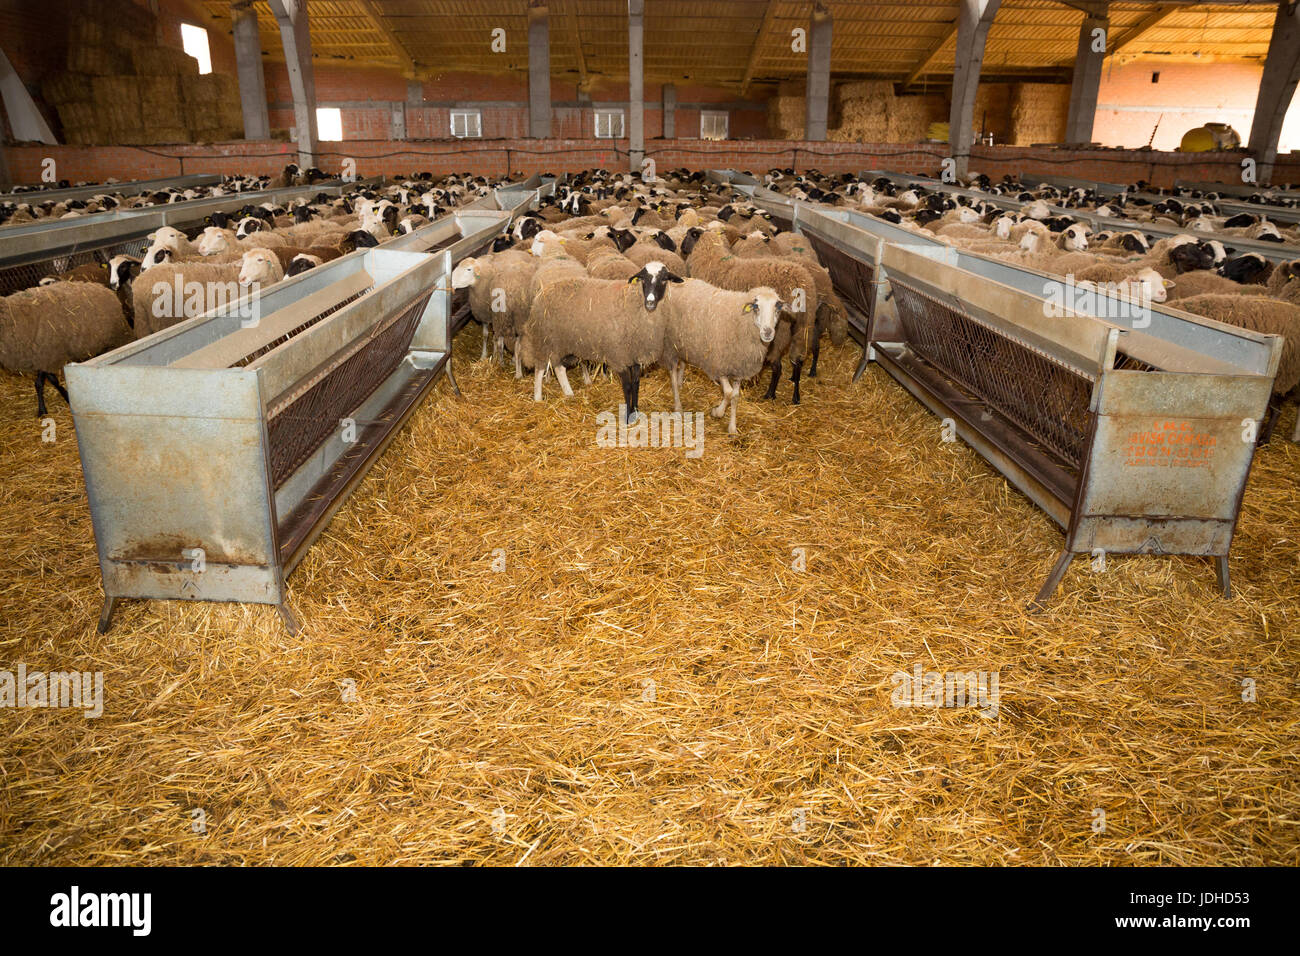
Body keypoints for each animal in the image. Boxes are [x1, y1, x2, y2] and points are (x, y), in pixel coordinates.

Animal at [0, 286, 131, 416]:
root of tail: (105, 289)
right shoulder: (42, 359)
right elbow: (50, 381)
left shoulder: (47, 357)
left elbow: (41, 383)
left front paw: (45, 409)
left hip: (116, 338)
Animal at [514, 265, 665, 421]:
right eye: (644, 278)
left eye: (664, 279)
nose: (651, 302)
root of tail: (539, 296)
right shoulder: (619, 356)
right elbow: (628, 386)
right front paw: (628, 417)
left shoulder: (634, 358)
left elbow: (636, 384)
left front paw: (635, 411)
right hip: (544, 341)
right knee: (540, 369)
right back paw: (538, 397)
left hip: (560, 343)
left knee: (558, 368)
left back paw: (569, 393)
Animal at [655, 269, 785, 434]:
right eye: (756, 306)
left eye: (778, 308)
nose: (768, 332)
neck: (740, 320)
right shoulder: (718, 364)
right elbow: (728, 393)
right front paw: (718, 412)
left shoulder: (738, 368)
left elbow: (735, 396)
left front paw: (732, 428)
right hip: (669, 346)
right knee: (671, 374)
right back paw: (678, 405)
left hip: (683, 343)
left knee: (682, 363)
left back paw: (680, 381)